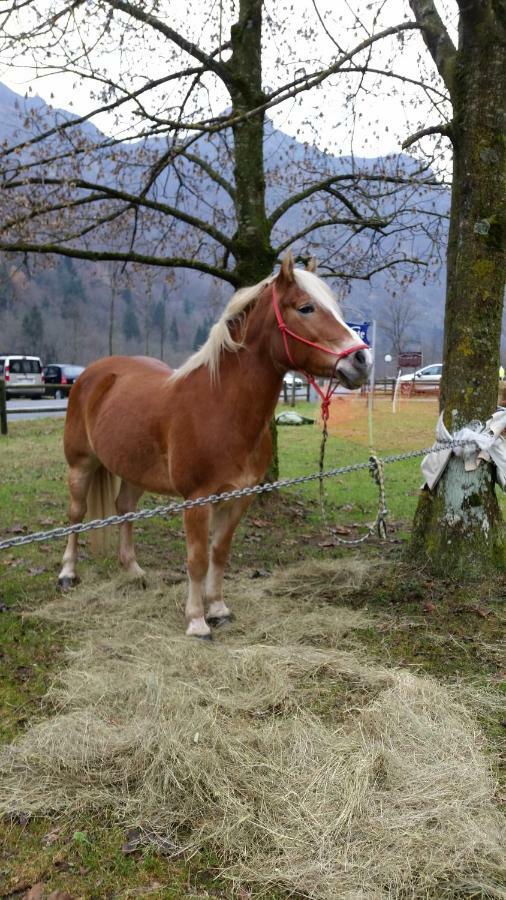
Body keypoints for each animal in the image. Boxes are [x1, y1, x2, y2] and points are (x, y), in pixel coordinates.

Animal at [59, 253, 374, 640]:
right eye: (306, 308)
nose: (362, 361)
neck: (221, 406)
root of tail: (94, 373)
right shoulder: (197, 500)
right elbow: (197, 558)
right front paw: (196, 621)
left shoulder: (239, 496)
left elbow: (219, 552)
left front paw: (219, 609)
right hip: (80, 464)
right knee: (75, 514)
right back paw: (68, 574)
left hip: (133, 469)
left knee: (124, 509)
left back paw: (133, 571)